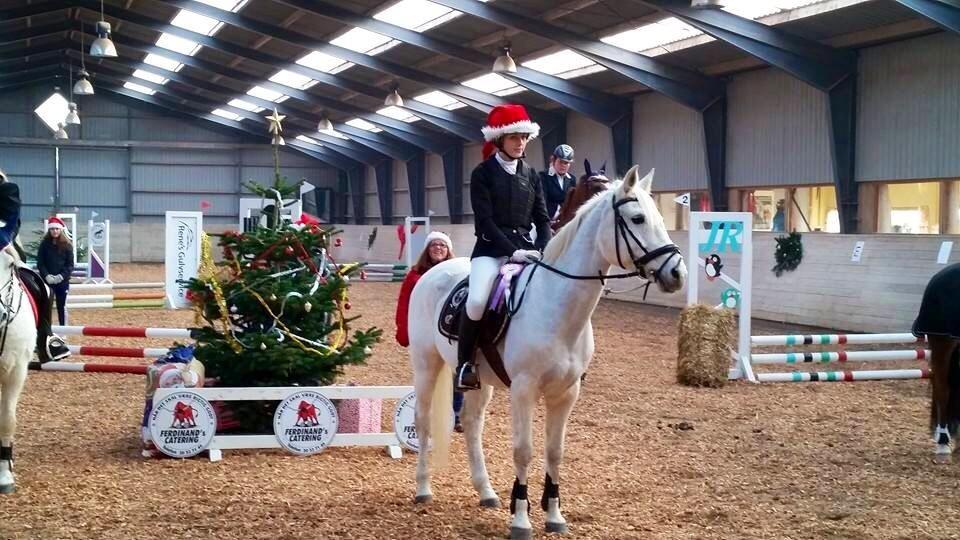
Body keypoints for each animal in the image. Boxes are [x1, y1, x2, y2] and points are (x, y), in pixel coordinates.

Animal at [408, 167, 688, 536]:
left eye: (660, 217)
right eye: (638, 218)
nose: (677, 274)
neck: (556, 304)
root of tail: (434, 270)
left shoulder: (567, 393)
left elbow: (555, 452)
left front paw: (554, 515)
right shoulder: (524, 390)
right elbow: (523, 451)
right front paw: (521, 519)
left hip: (477, 379)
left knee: (471, 424)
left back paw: (486, 492)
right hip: (427, 364)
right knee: (423, 421)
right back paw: (423, 488)